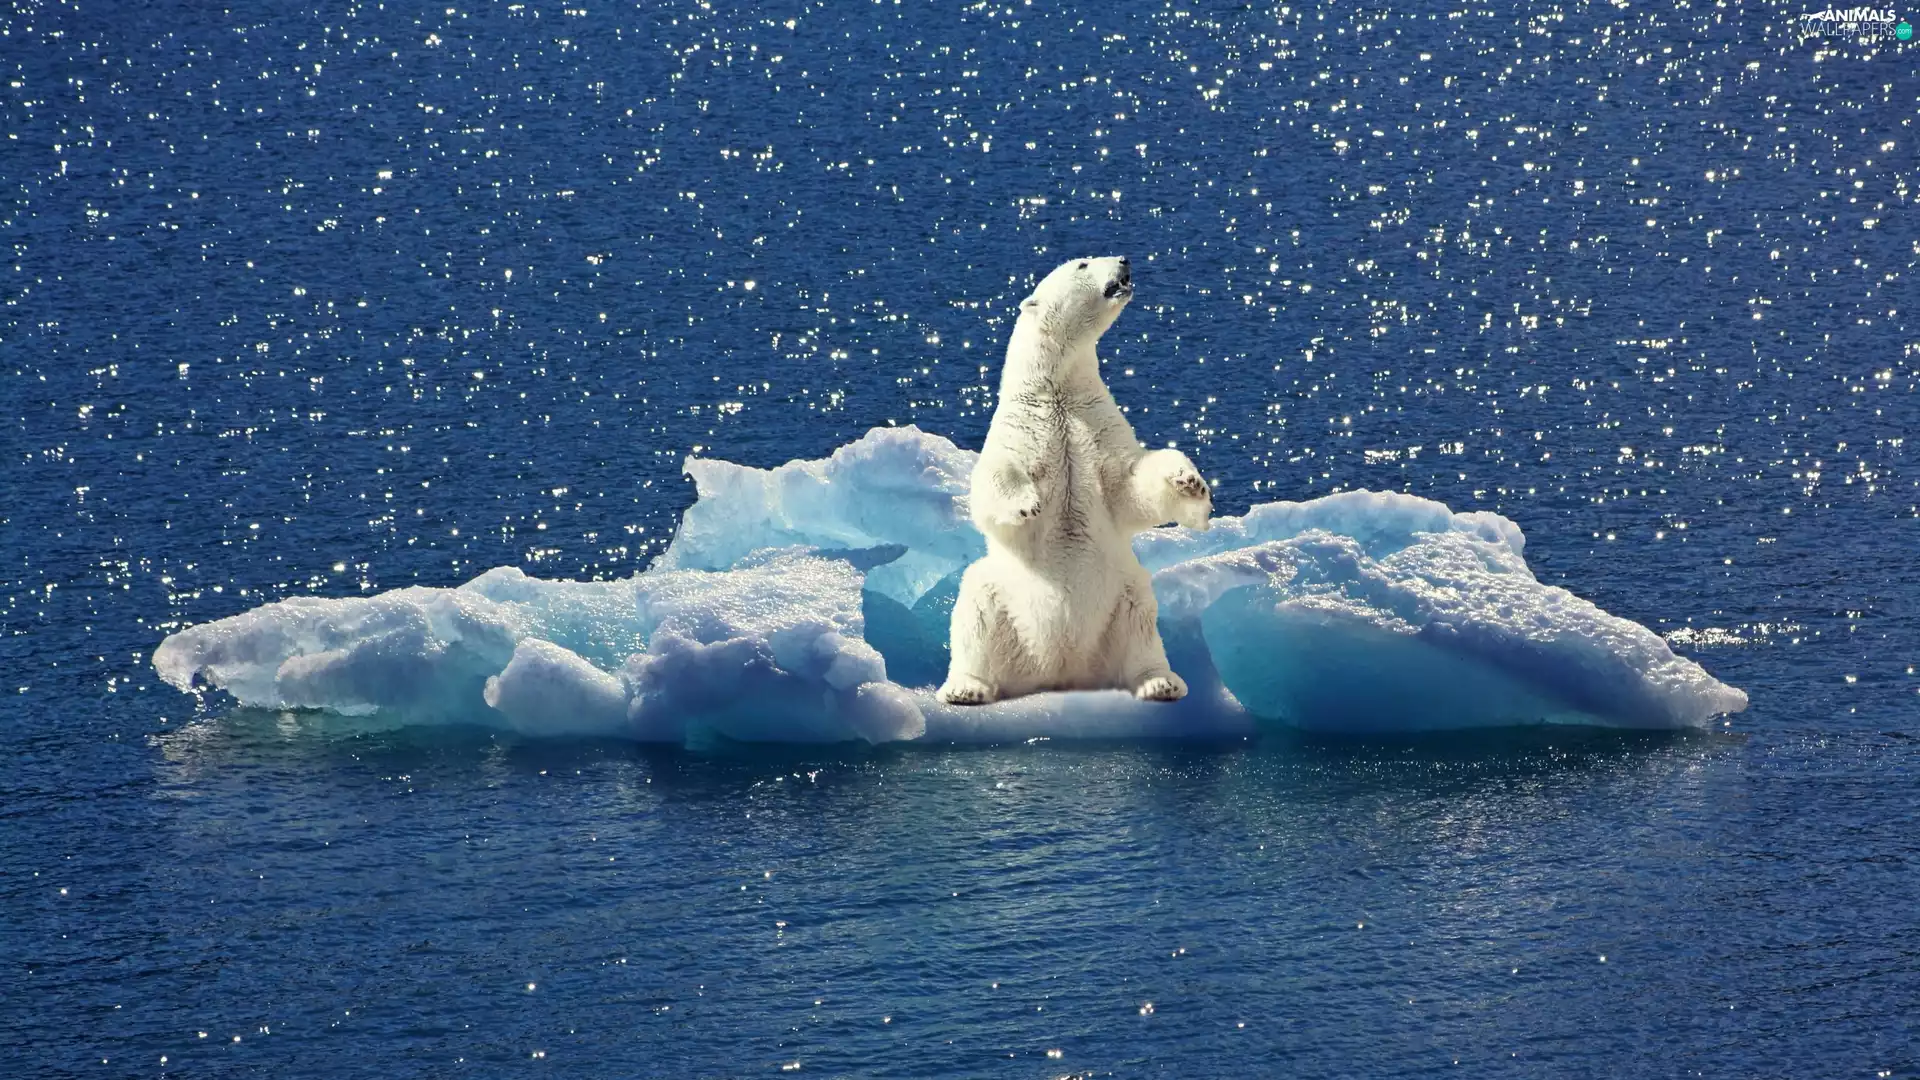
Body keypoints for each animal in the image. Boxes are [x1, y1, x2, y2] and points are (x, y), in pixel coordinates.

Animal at [937, 256, 1212, 706]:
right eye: (1083, 263)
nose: (1124, 259)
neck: (1057, 391)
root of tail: (1060, 670)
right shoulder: (1024, 427)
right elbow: (995, 477)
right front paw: (1026, 503)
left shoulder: (1096, 425)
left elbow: (1129, 484)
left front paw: (1190, 482)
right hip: (1001, 596)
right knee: (974, 608)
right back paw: (966, 688)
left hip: (1122, 596)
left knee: (1141, 621)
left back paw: (1161, 682)